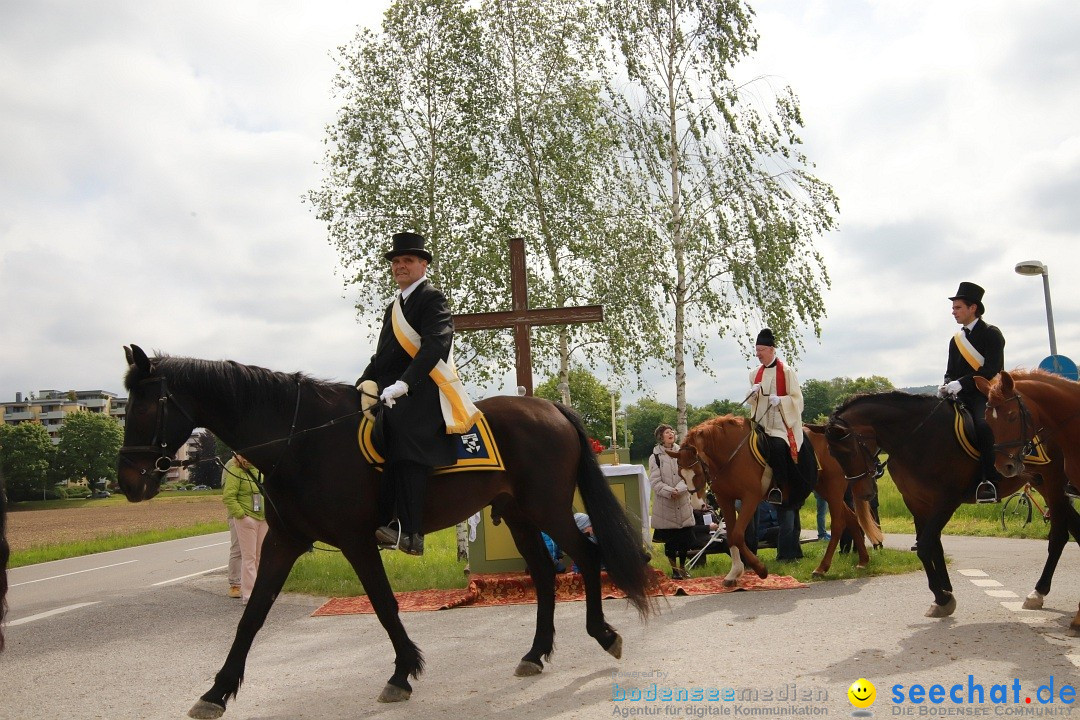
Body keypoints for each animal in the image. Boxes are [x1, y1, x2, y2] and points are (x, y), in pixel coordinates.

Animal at [119, 345, 656, 716]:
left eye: (144, 407)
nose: (128, 481)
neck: (301, 441)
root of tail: (550, 408)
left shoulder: (356, 540)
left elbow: (383, 604)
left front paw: (402, 673)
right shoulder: (284, 540)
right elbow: (252, 616)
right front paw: (217, 691)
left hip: (547, 510)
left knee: (586, 557)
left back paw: (604, 634)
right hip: (520, 515)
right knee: (545, 575)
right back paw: (536, 653)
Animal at [665, 416, 876, 587]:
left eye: (698, 472)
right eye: (680, 474)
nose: (697, 506)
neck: (731, 455)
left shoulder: (750, 498)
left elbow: (738, 534)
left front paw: (760, 569)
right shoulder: (726, 500)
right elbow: (732, 535)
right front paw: (734, 573)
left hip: (834, 487)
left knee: (839, 523)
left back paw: (822, 567)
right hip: (823, 487)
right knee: (851, 518)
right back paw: (863, 561)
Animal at [825, 390, 1071, 621]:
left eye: (848, 450)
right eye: (832, 454)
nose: (864, 493)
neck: (917, 436)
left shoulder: (946, 501)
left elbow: (924, 546)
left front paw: (942, 597)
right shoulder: (917, 502)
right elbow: (933, 545)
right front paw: (944, 594)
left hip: (1053, 482)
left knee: (1059, 535)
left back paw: (1039, 591)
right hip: (1041, 482)